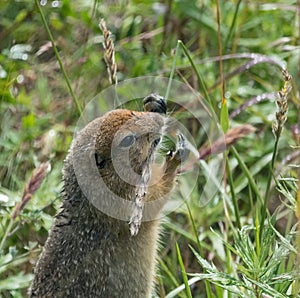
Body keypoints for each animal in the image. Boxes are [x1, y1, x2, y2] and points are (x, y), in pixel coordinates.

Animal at [28, 95, 188, 296]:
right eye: (127, 139)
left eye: (130, 112)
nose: (159, 117)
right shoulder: (127, 204)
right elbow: (157, 195)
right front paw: (174, 160)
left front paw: (153, 102)